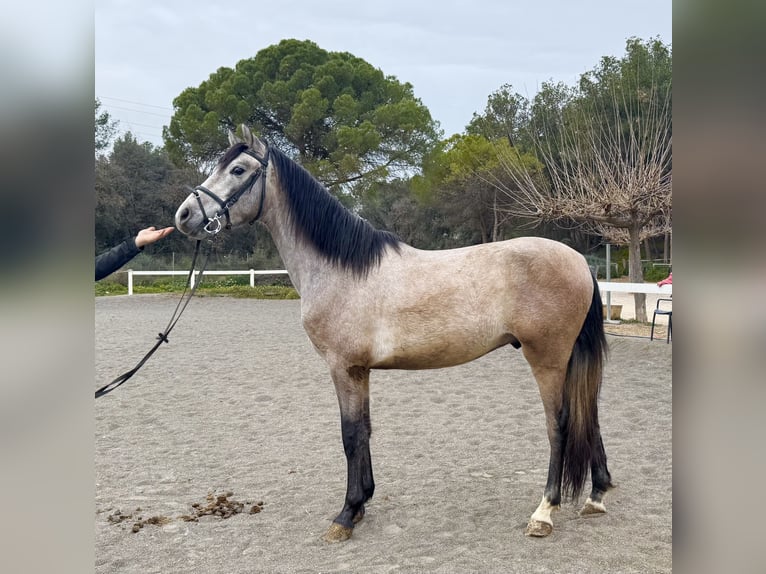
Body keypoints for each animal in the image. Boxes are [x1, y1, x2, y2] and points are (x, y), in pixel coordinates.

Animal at [174, 124, 612, 544]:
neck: (341, 268)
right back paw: (596, 496)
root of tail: (579, 261)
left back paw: (544, 512)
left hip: (547, 358)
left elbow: (350, 435)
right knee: (588, 415)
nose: (184, 216)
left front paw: (345, 515)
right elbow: (365, 430)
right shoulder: (360, 370)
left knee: (560, 424)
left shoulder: (343, 367)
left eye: (238, 170)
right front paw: (362, 503)